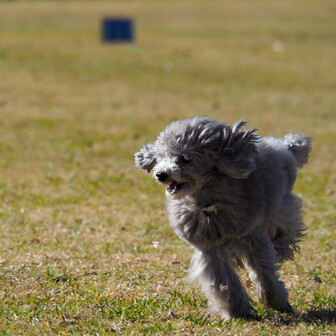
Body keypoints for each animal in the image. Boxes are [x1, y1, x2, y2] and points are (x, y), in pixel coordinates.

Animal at [135, 117, 312, 320]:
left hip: (280, 209)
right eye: (161, 156)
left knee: (285, 233)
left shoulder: (252, 237)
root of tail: (284, 147)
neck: (209, 203)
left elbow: (263, 274)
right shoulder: (210, 247)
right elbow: (222, 280)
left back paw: (280, 249)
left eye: (186, 158)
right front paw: (237, 311)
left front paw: (276, 301)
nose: (161, 174)